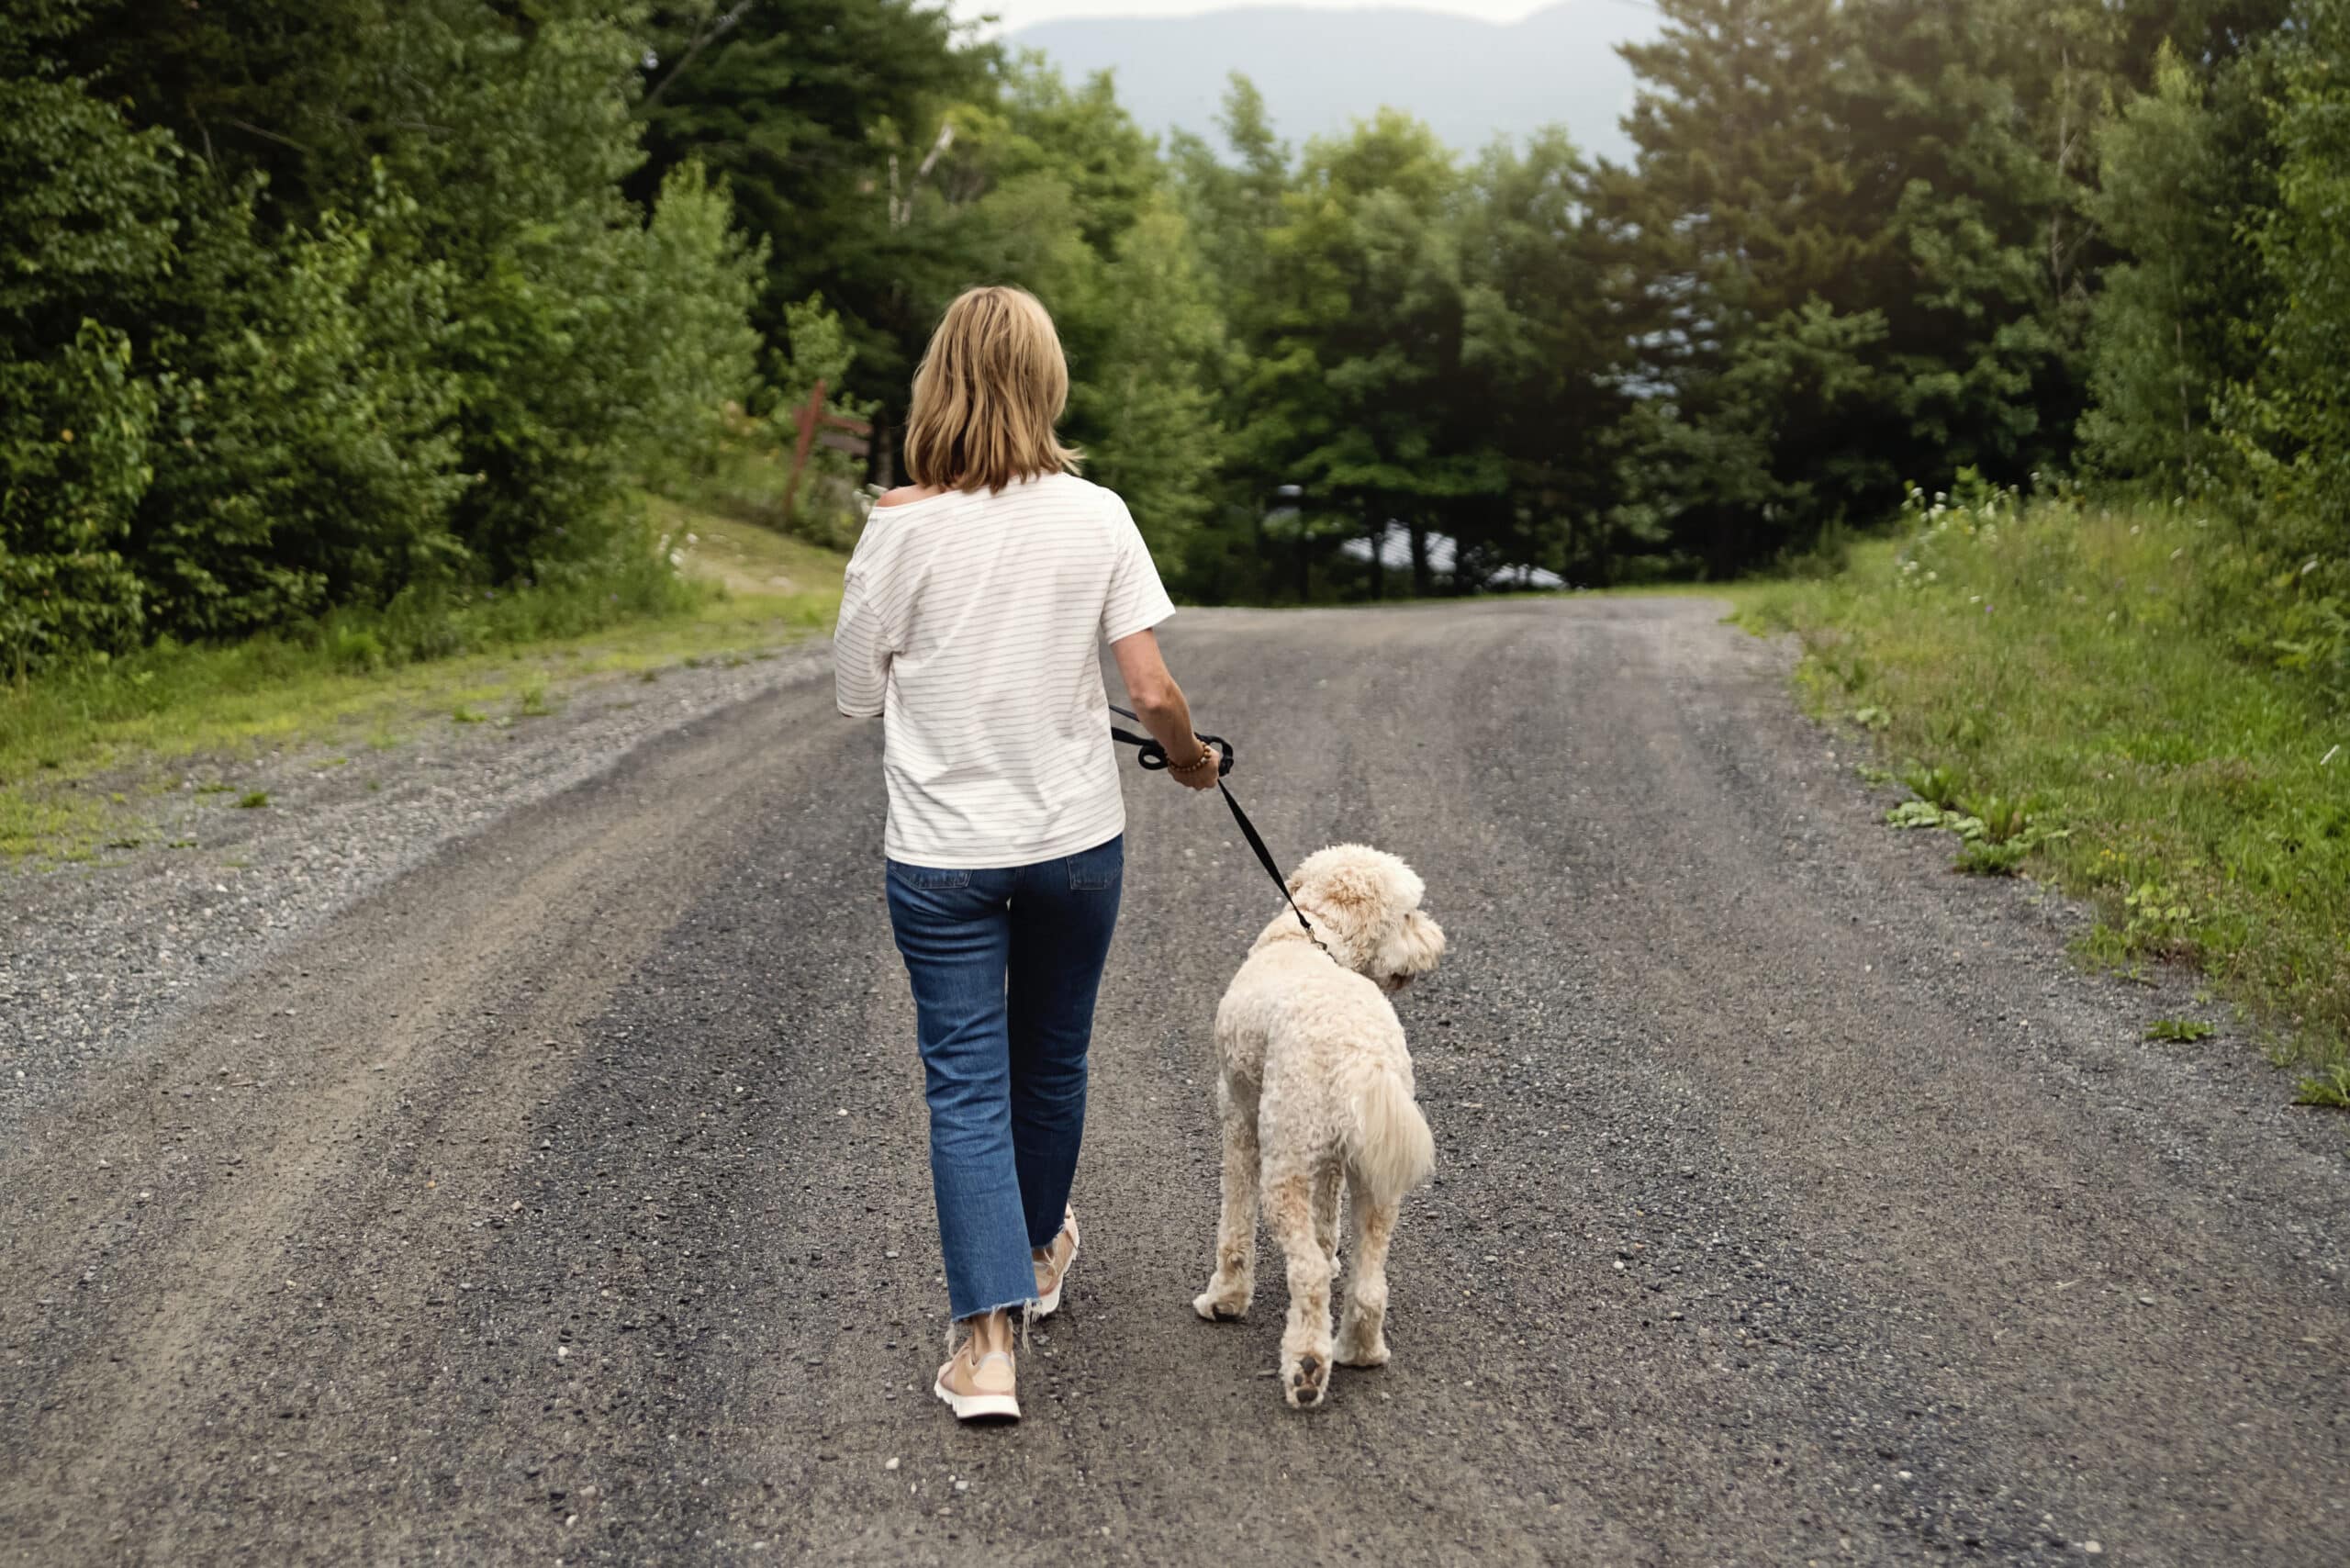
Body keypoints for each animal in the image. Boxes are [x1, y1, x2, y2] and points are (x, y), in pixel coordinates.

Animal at [1203, 846, 1438, 1410]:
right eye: (1407, 915)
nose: (1435, 942)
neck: (1315, 934)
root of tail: (1360, 1053)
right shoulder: (1331, 1158)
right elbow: (1327, 1224)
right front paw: (1332, 1255)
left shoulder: (1240, 1120)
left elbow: (1235, 1226)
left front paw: (1225, 1299)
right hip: (1375, 1176)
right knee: (1370, 1283)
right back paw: (1360, 1351)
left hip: (1284, 1165)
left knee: (1305, 1273)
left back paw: (1307, 1369)